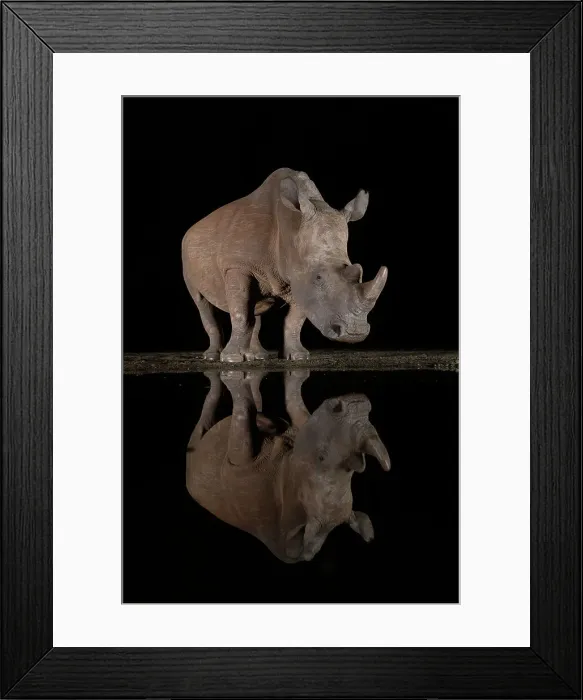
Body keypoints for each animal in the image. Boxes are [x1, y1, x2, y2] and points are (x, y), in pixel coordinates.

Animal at [181, 168, 388, 362]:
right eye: (318, 278)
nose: (355, 333)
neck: (291, 227)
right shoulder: (237, 266)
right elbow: (241, 315)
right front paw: (232, 359)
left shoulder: (297, 276)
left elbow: (294, 319)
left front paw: (297, 356)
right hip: (187, 253)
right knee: (202, 302)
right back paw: (213, 356)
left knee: (256, 307)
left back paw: (258, 356)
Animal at [186, 370, 391, 563]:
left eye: (321, 456)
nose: (357, 402)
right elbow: (298, 410)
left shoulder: (244, 471)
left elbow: (242, 423)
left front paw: (236, 381)